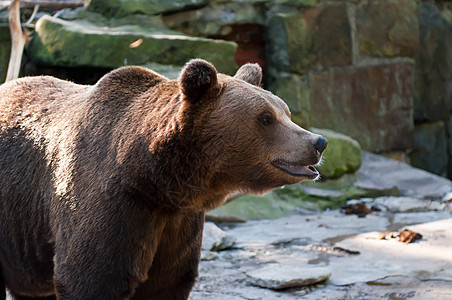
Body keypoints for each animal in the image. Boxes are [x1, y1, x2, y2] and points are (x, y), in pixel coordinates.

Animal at [0, 59, 324, 298]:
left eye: (285, 111)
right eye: (265, 118)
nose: (318, 141)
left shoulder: (179, 223)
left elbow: (167, 281)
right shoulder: (109, 201)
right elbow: (91, 276)